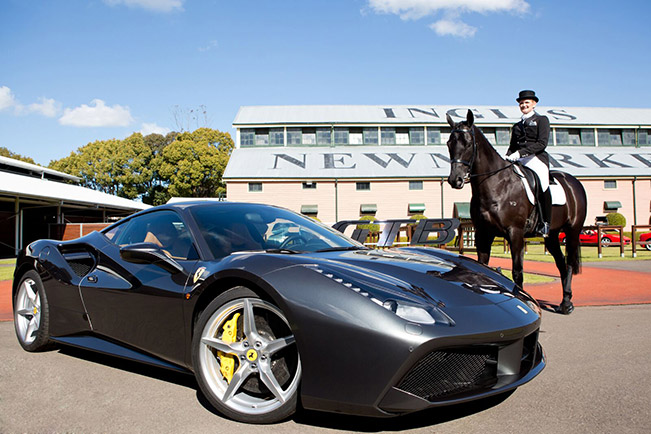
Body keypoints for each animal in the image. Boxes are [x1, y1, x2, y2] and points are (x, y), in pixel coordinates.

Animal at [446, 110, 588, 314]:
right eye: (449, 143)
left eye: (467, 143)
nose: (455, 180)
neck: (496, 184)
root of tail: (573, 182)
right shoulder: (483, 233)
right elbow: (482, 266)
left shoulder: (515, 233)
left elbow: (517, 272)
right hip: (552, 235)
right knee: (561, 263)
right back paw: (564, 301)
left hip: (573, 231)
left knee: (568, 262)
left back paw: (567, 304)